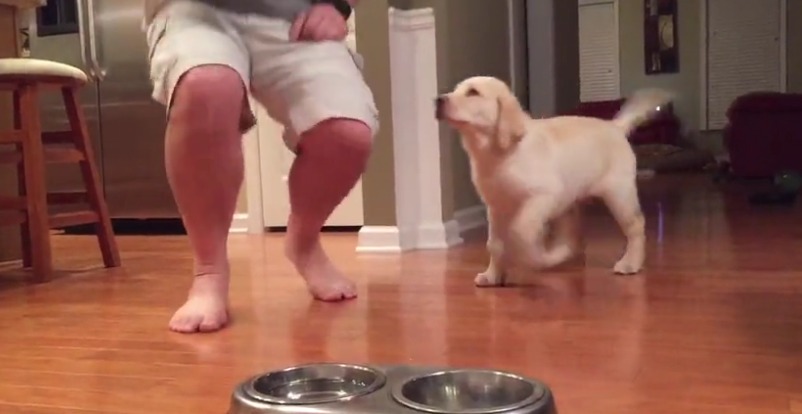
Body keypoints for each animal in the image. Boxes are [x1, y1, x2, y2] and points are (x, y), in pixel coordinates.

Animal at [434, 76, 673, 287]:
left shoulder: (543, 196)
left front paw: (533, 256)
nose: (437, 100)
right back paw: (559, 256)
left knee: (635, 226)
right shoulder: (495, 207)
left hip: (618, 194)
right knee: (574, 238)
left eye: (473, 93)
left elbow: (520, 230)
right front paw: (492, 275)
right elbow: (494, 243)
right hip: (570, 203)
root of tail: (615, 127)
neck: (499, 153)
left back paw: (630, 263)